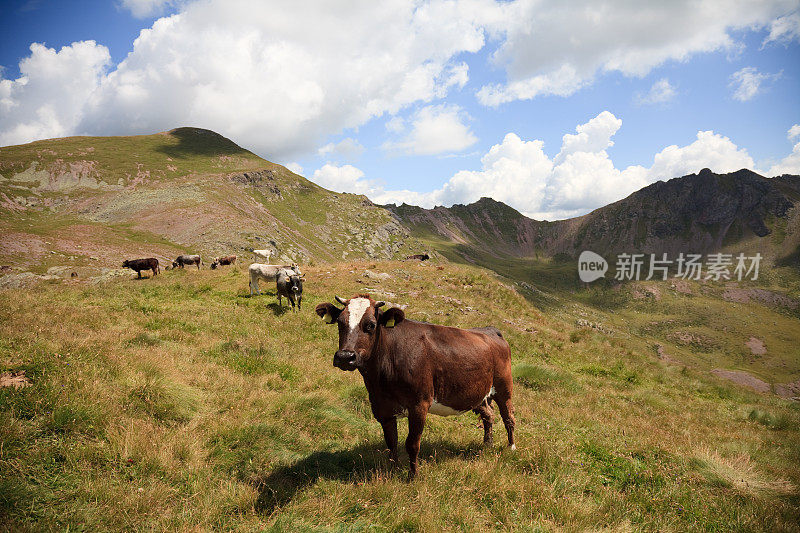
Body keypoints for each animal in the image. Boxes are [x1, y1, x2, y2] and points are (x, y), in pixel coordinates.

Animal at [316, 296, 516, 478]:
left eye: (371, 325)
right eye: (340, 322)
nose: (345, 357)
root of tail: (491, 329)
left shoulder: (419, 404)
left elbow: (412, 444)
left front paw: (413, 477)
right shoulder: (382, 407)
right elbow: (391, 442)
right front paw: (393, 471)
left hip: (504, 386)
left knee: (508, 417)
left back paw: (511, 447)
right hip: (479, 393)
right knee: (488, 415)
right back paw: (487, 444)